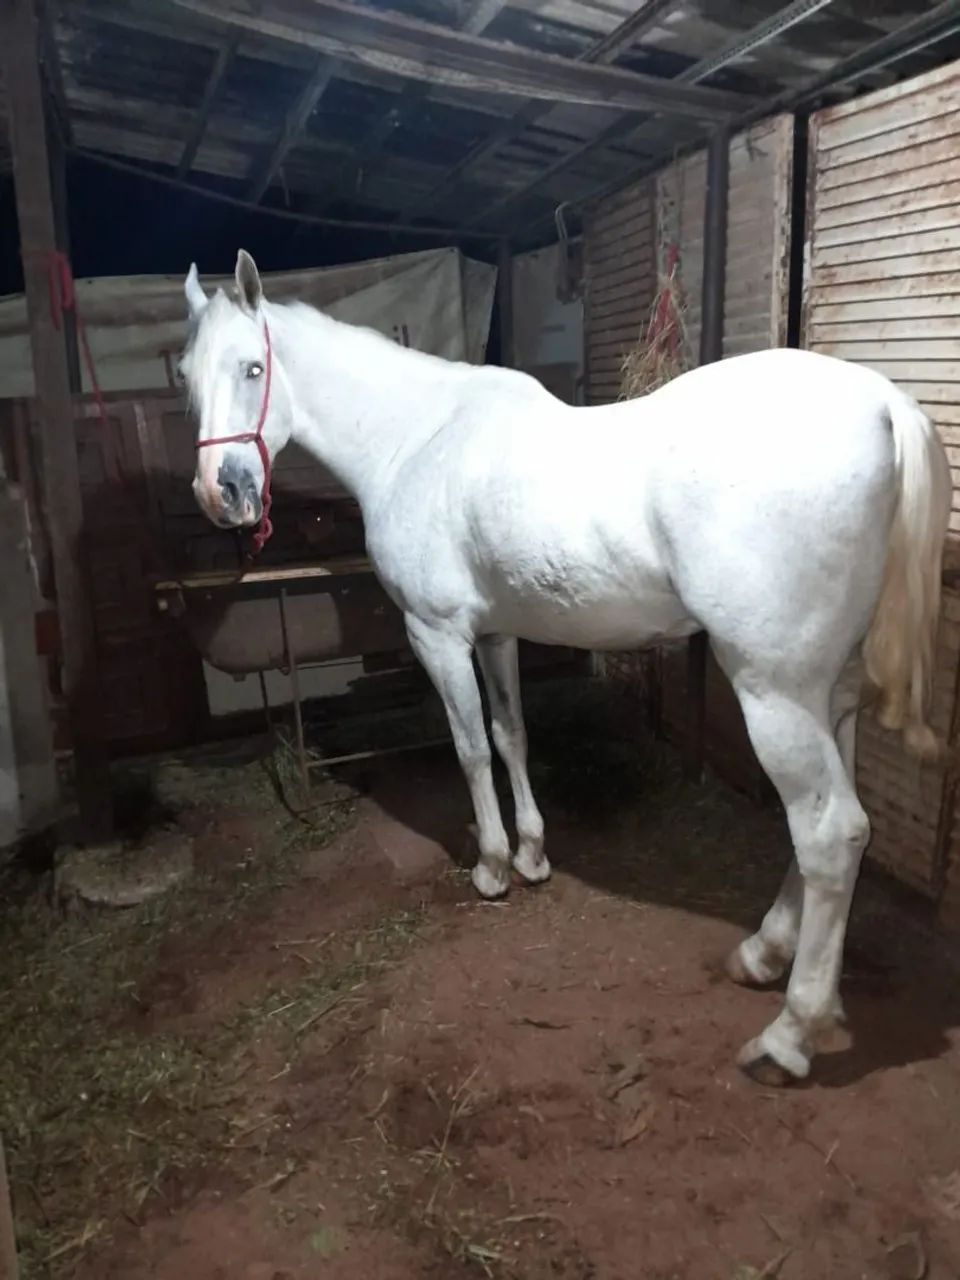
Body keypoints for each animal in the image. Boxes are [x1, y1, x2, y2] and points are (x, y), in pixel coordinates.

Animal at [179, 249, 950, 1085]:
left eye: (254, 367)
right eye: (186, 375)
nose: (222, 494)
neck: (415, 438)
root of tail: (884, 405)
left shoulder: (437, 634)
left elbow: (470, 748)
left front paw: (491, 866)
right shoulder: (494, 635)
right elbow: (511, 736)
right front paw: (533, 854)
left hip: (775, 692)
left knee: (829, 833)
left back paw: (788, 1035)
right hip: (827, 693)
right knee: (837, 830)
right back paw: (767, 956)